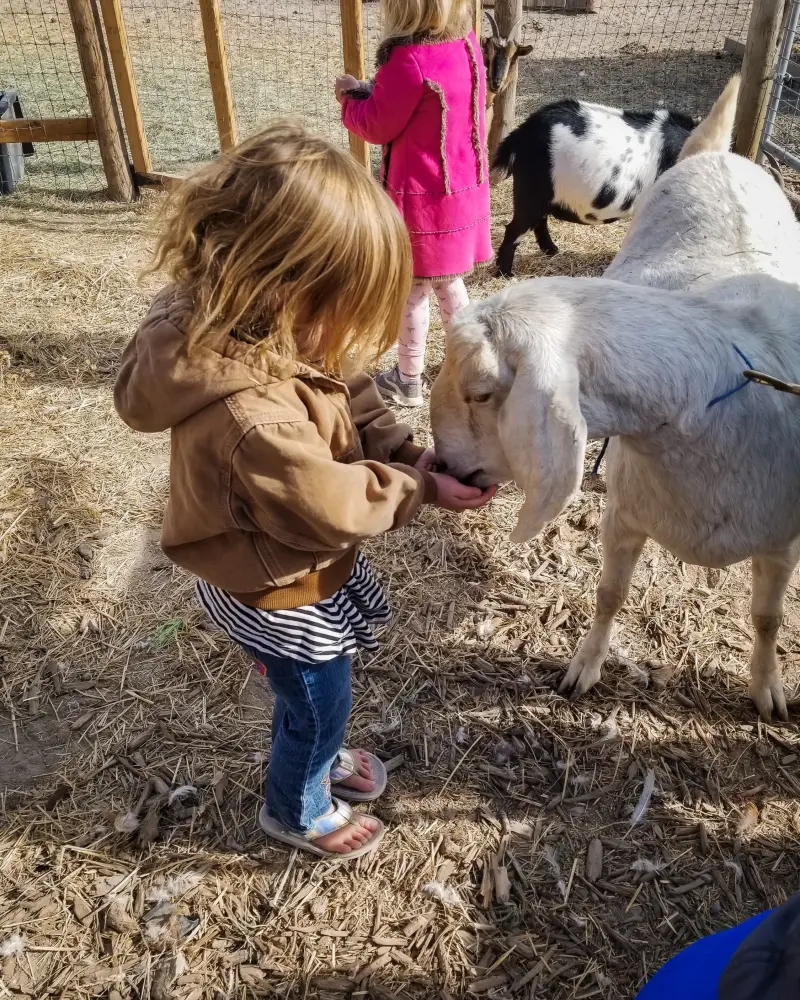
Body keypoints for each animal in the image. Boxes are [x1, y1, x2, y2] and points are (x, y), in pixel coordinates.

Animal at [492, 90, 703, 275]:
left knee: (539, 221)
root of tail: (521, 134)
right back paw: (505, 274)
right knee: (514, 230)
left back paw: (552, 251)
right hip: (531, 191)